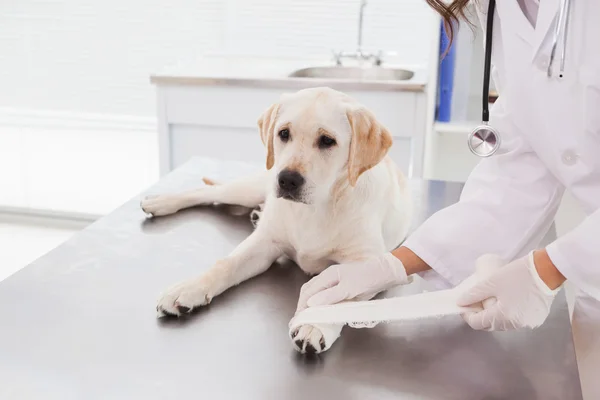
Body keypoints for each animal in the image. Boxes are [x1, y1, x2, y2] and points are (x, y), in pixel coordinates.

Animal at [141, 86, 412, 354]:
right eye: (284, 133)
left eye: (327, 140)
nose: (288, 180)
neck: (315, 208)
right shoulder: (264, 244)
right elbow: (225, 264)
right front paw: (189, 288)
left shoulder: (368, 264)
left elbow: (340, 292)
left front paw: (314, 324)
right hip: (250, 188)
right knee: (208, 192)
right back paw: (162, 201)